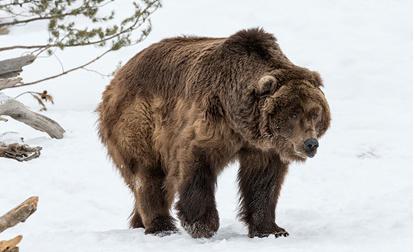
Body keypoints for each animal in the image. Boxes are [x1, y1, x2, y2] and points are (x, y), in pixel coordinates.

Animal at [96, 27, 332, 238]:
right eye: (293, 113)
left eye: (315, 113)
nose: (310, 143)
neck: (241, 120)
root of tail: (117, 78)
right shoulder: (210, 121)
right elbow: (195, 163)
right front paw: (202, 224)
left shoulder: (262, 147)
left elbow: (263, 181)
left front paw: (272, 229)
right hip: (139, 123)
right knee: (148, 175)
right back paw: (161, 227)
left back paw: (138, 223)